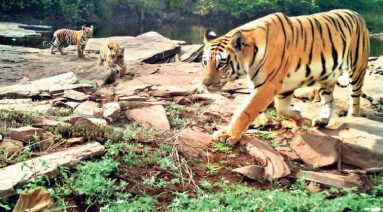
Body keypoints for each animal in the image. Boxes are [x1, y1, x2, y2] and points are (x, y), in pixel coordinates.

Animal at [202, 9, 370, 146]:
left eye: (221, 64)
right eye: (205, 62)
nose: (204, 84)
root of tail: (357, 14)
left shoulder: (267, 86)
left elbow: (246, 111)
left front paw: (228, 135)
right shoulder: (284, 86)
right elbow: (281, 108)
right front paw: (299, 119)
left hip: (357, 69)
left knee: (355, 97)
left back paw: (352, 117)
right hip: (327, 77)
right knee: (329, 99)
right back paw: (322, 120)